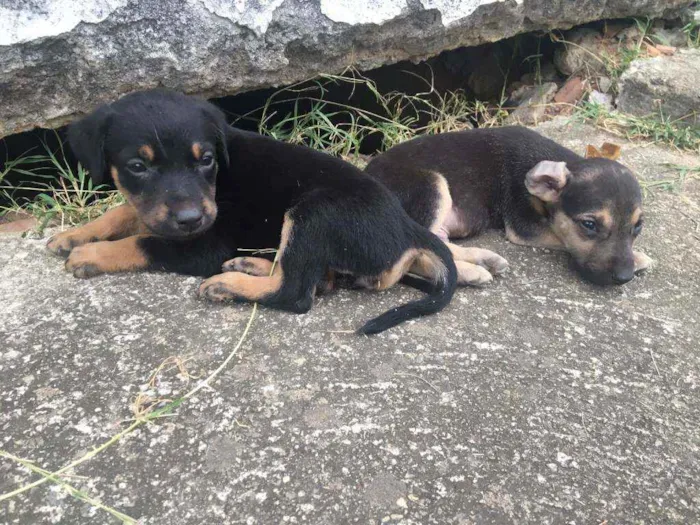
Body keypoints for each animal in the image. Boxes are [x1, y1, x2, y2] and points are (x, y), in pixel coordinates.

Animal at [45, 89, 460, 336]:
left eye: (206, 159)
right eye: (137, 166)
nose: (191, 220)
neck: (220, 173)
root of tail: (407, 228)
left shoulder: (204, 245)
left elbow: (143, 242)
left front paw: (90, 254)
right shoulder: (155, 209)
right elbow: (125, 213)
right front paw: (72, 235)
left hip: (313, 211)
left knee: (297, 292)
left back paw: (230, 284)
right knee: (317, 279)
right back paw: (252, 265)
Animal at [364, 125, 652, 284]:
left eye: (638, 226)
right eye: (589, 225)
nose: (624, 278)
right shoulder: (524, 227)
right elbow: (563, 239)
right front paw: (639, 257)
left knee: (437, 243)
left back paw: (483, 259)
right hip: (431, 186)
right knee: (419, 250)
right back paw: (471, 272)